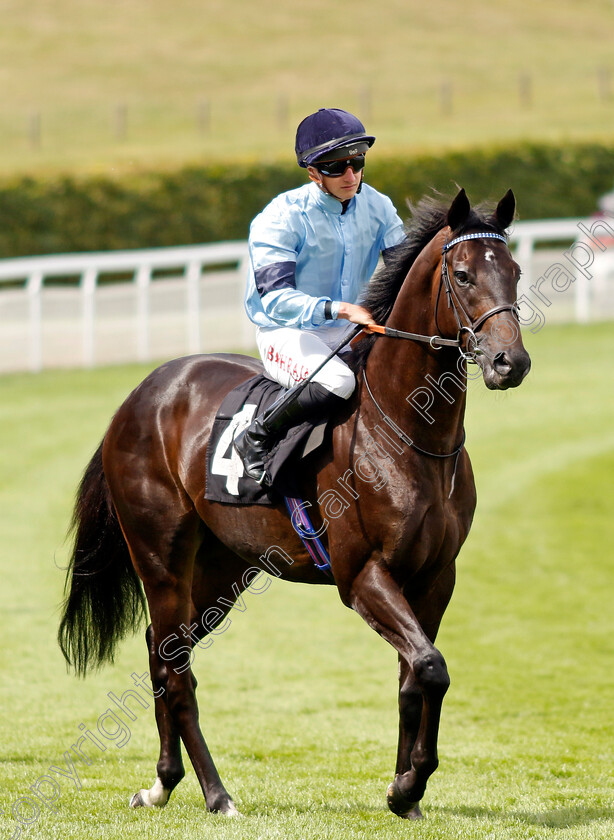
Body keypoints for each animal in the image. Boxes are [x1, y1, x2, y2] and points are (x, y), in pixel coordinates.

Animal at [57, 185, 532, 820]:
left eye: (515, 270)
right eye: (462, 275)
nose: (511, 363)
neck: (410, 432)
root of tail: (140, 395)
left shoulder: (436, 576)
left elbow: (416, 675)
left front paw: (405, 789)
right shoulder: (361, 574)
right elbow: (430, 666)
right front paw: (407, 785)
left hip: (221, 568)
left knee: (164, 652)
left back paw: (162, 783)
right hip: (160, 558)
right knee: (175, 668)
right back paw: (217, 794)